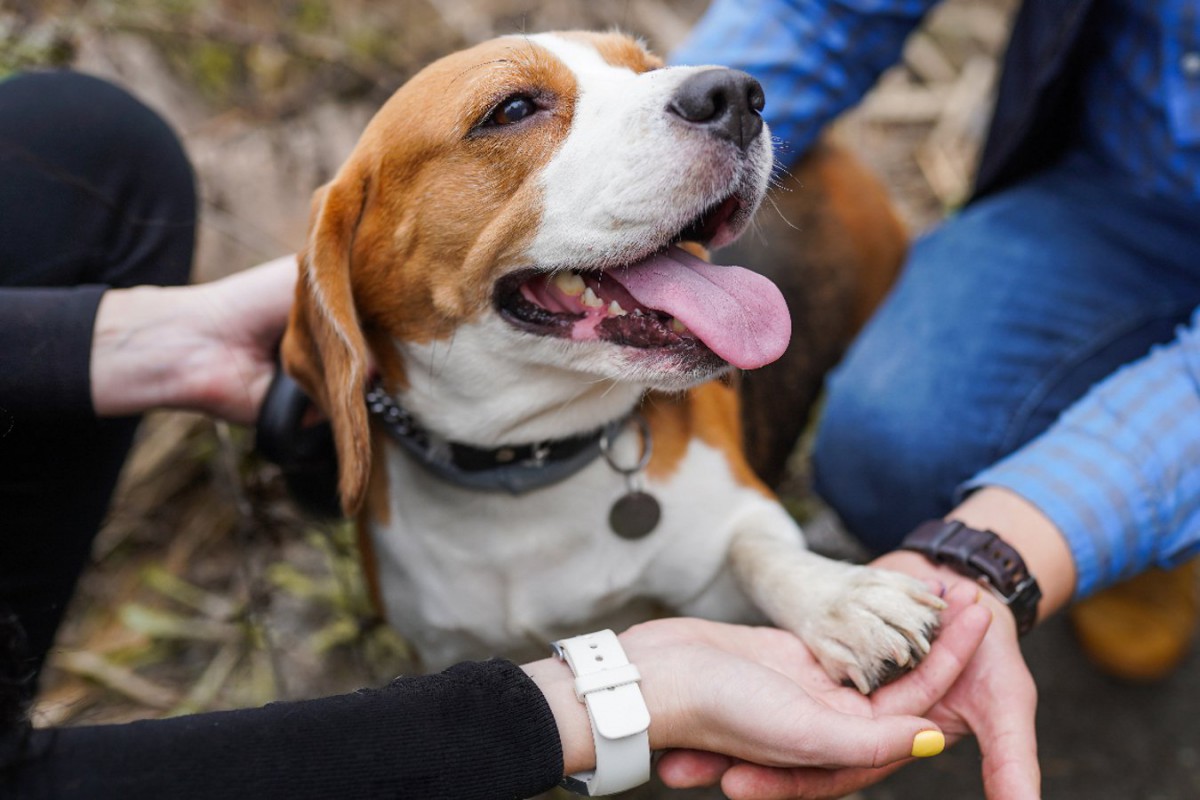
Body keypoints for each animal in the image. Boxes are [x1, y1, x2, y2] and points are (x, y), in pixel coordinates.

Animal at [285, 31, 940, 695]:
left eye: (646, 68)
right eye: (512, 109)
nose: (737, 94)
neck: (525, 468)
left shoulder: (734, 525)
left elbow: (758, 550)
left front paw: (842, 598)